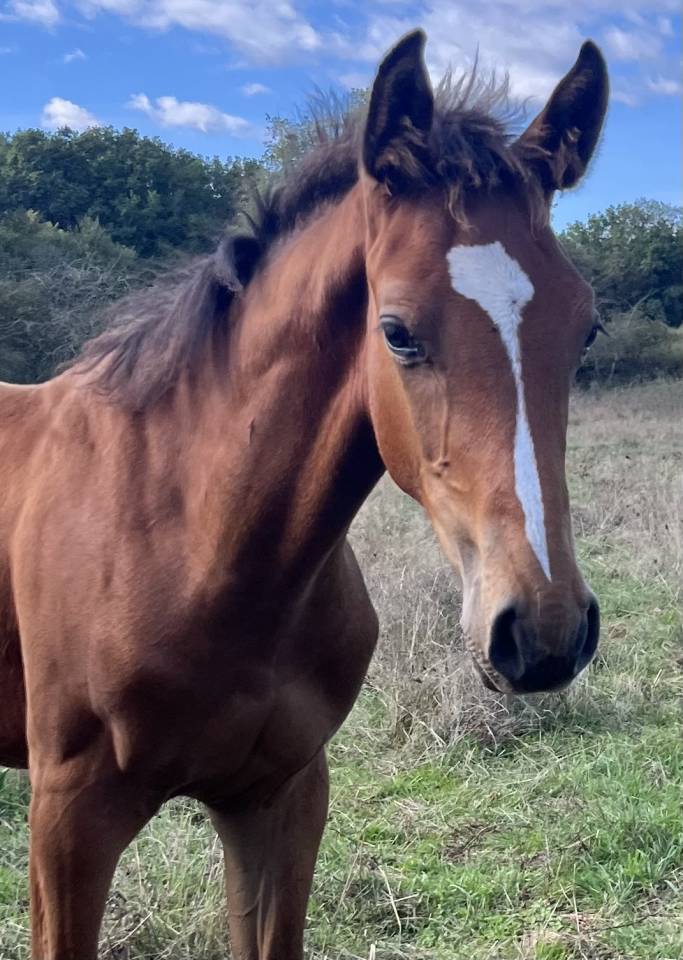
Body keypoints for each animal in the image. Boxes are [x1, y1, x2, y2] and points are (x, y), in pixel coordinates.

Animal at [0, 29, 608, 959]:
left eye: (585, 328)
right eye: (395, 331)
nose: (542, 631)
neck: (189, 536)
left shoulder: (279, 800)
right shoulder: (66, 822)